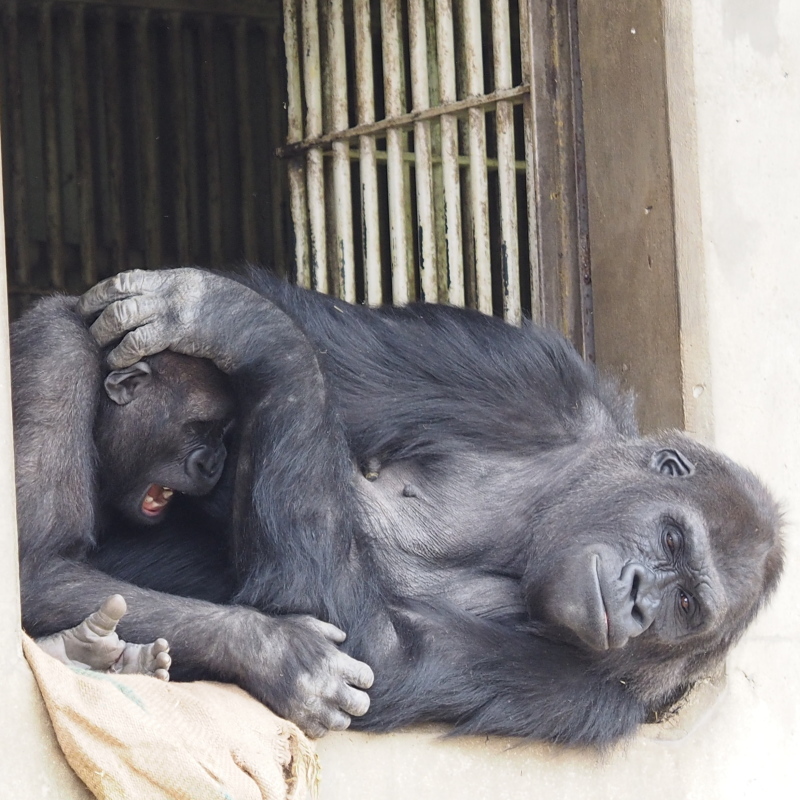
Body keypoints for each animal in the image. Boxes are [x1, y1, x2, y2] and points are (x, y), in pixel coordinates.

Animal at [12, 296, 376, 736]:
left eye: (225, 431)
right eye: (203, 425)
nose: (213, 463)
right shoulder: (55, 363)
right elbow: (39, 566)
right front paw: (275, 651)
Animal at [78, 268, 784, 744]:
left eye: (686, 605)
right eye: (672, 539)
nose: (641, 600)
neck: (535, 532)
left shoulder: (602, 695)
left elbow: (380, 655)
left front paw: (237, 322)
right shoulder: (522, 376)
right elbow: (322, 353)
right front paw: (227, 315)